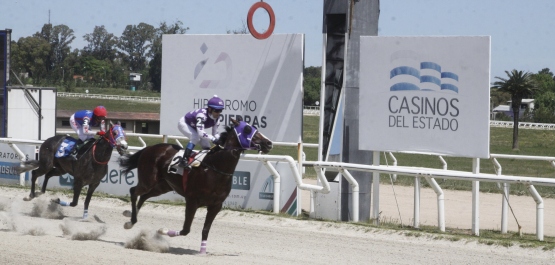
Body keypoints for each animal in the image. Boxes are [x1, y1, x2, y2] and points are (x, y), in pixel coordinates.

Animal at [119, 118, 274, 254]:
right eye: (247, 129)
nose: (269, 143)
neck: (215, 168)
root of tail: (150, 148)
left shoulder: (216, 205)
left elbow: (205, 230)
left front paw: (202, 252)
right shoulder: (192, 201)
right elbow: (186, 229)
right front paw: (162, 230)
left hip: (163, 186)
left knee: (144, 196)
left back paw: (130, 215)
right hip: (148, 181)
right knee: (134, 191)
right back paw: (131, 221)